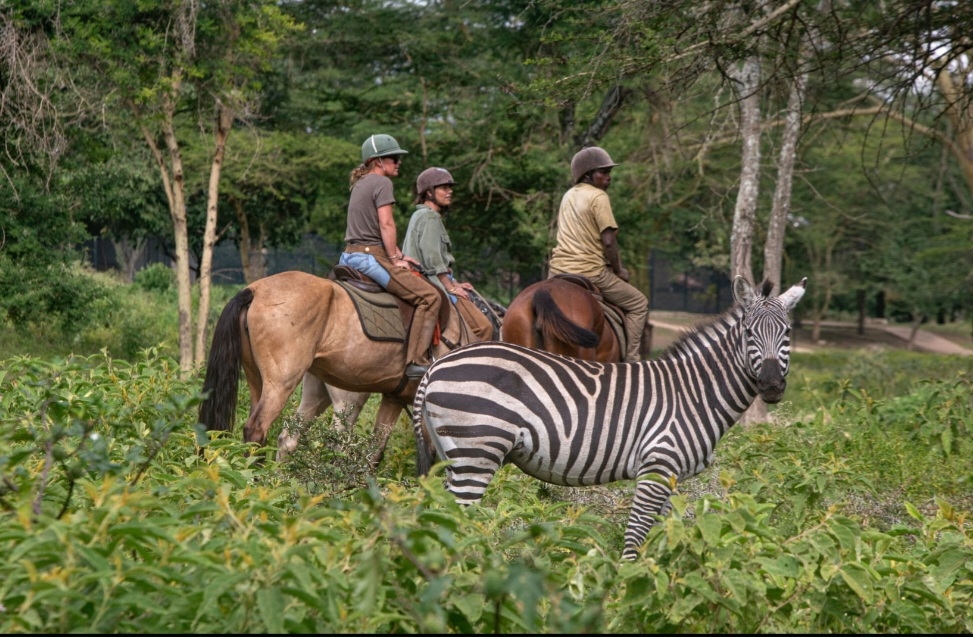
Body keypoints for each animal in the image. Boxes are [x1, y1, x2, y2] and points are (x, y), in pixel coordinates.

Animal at [199, 270, 502, 468]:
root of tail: (254, 290)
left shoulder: (394, 399)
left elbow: (376, 452)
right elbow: (430, 454)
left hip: (265, 382)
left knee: (284, 437)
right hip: (283, 383)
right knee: (257, 429)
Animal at [410, 276, 804, 560]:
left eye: (787, 333)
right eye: (749, 333)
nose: (771, 386)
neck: (694, 392)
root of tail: (434, 367)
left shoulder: (671, 475)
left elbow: (662, 534)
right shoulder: (658, 464)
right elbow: (637, 534)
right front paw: (623, 588)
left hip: (451, 455)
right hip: (477, 451)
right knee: (456, 522)